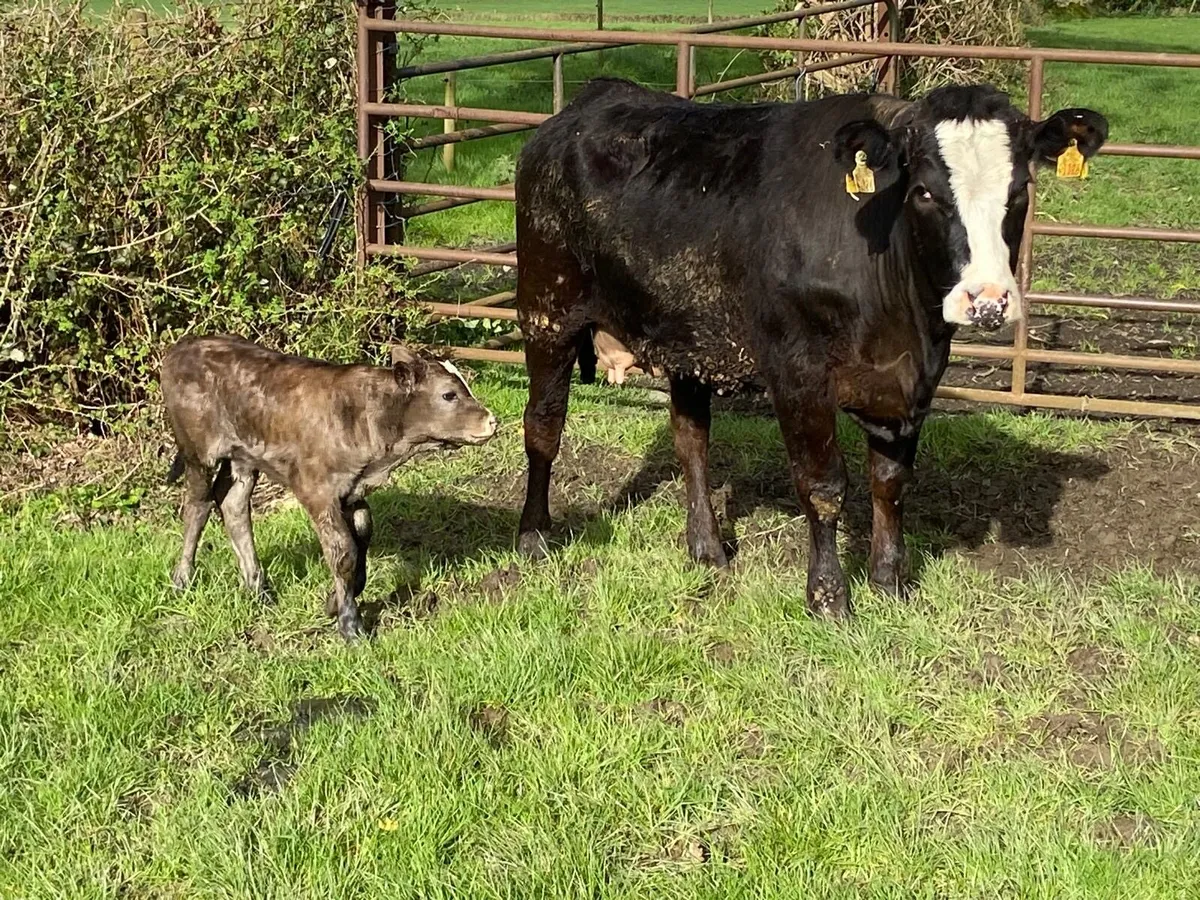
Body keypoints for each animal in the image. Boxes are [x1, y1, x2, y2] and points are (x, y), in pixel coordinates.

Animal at [161, 336, 498, 640]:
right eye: (448, 395)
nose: (491, 421)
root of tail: (182, 347)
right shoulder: (317, 491)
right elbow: (343, 551)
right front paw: (351, 626)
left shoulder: (353, 491)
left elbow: (361, 538)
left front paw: (334, 602)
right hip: (198, 452)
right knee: (197, 506)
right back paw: (182, 580)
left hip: (243, 457)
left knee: (232, 503)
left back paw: (258, 589)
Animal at [513, 78, 1107, 619]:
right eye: (925, 192)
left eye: (1020, 190)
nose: (987, 300)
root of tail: (588, 102)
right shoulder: (797, 372)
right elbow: (823, 485)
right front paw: (829, 598)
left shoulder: (911, 380)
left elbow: (890, 482)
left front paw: (889, 582)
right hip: (546, 310)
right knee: (544, 426)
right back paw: (533, 537)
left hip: (688, 336)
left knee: (691, 439)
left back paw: (707, 547)